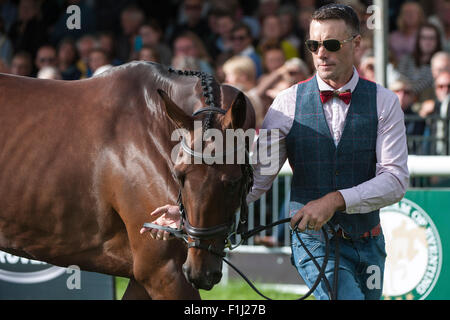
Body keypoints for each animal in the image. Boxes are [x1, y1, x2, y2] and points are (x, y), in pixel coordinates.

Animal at [0, 61, 253, 298]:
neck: (155, 127)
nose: (201, 272)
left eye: (233, 183)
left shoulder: (147, 275)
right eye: (179, 176)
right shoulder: (163, 271)